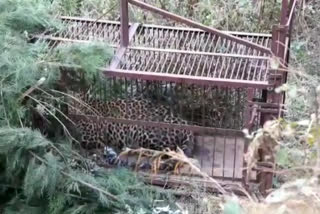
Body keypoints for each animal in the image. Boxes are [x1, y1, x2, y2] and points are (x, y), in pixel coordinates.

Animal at [67, 92, 195, 157]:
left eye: (74, 102)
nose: (71, 111)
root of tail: (185, 124)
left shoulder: (92, 137)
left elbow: (77, 140)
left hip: (142, 130)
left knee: (165, 150)